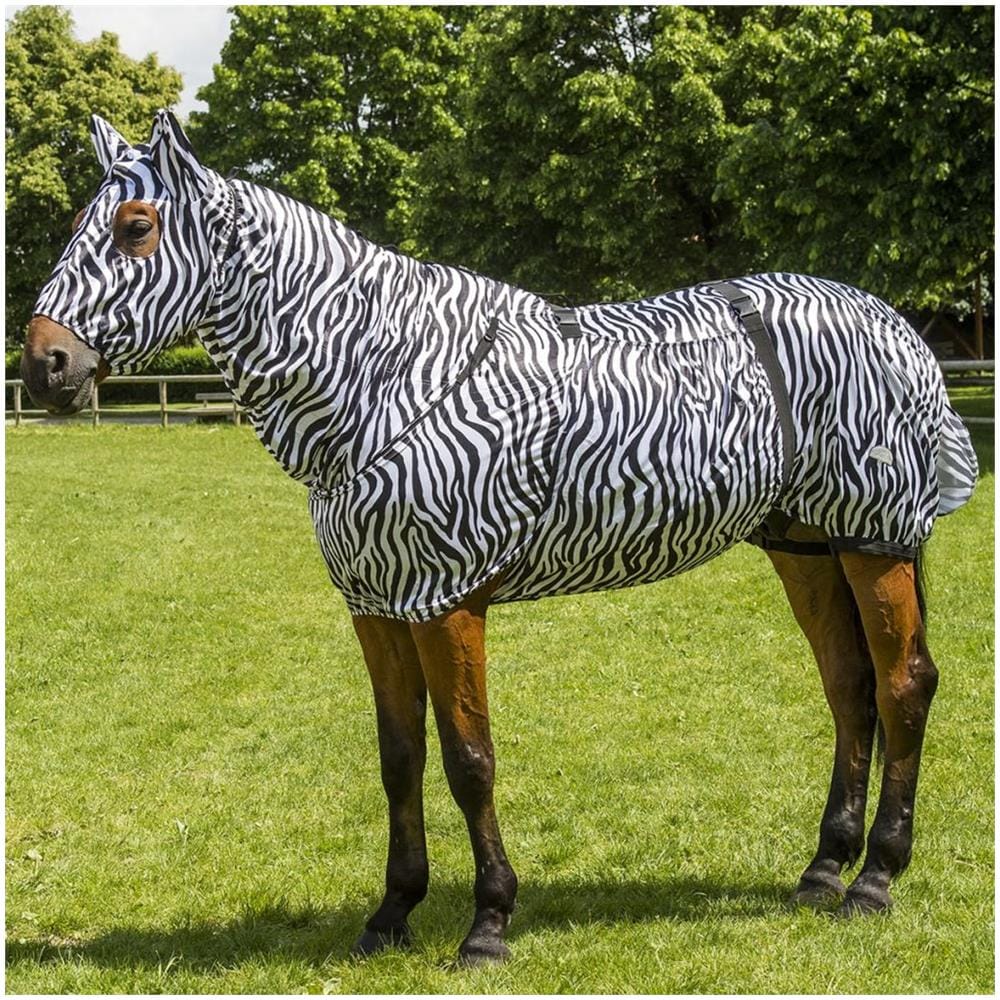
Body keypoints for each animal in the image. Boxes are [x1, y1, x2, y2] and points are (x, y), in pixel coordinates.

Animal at [22, 110, 978, 965]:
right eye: (74, 227)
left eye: (136, 227)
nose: (43, 366)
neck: (386, 377)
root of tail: (893, 323)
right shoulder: (377, 605)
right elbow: (399, 757)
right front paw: (391, 915)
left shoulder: (447, 600)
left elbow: (468, 759)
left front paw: (487, 925)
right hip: (805, 545)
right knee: (849, 687)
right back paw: (822, 869)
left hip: (873, 542)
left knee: (903, 686)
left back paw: (874, 879)